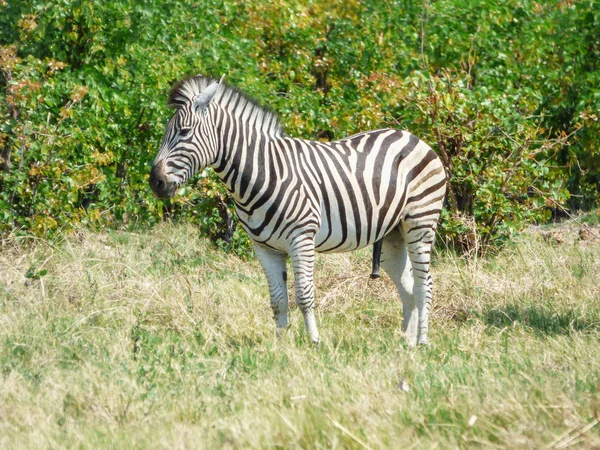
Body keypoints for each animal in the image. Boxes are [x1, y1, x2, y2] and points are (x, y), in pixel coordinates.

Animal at [150, 75, 446, 346]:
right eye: (165, 132)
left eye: (184, 132)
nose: (155, 182)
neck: (262, 172)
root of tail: (411, 135)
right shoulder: (265, 247)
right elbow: (278, 300)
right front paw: (281, 346)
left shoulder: (301, 238)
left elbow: (304, 295)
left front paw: (314, 342)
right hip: (393, 235)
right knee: (408, 287)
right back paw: (405, 344)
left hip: (420, 223)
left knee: (424, 285)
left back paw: (422, 343)